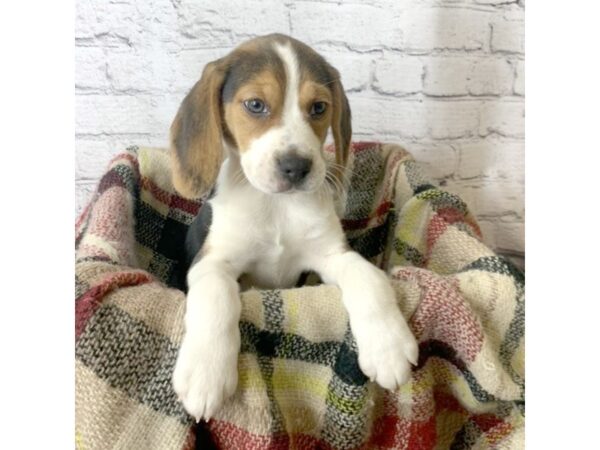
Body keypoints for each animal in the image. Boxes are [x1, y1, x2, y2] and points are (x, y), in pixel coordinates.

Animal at [171, 32, 420, 422]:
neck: (277, 207)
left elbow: (369, 278)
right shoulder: (212, 262)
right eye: (255, 105)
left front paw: (388, 345)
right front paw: (205, 373)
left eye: (318, 108)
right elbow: (216, 296)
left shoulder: (332, 255)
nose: (296, 167)